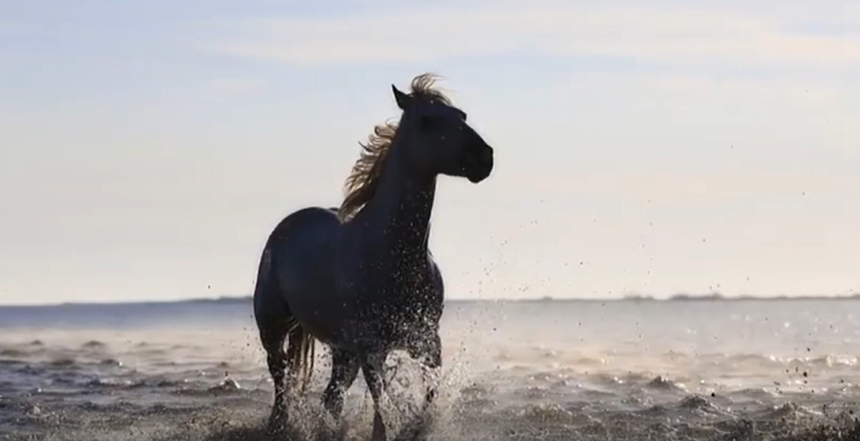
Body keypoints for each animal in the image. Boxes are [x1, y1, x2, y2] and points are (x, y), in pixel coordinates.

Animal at [252, 73, 494, 440]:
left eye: (462, 116)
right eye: (427, 120)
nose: (484, 157)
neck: (393, 256)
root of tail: (286, 227)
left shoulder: (427, 342)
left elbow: (427, 395)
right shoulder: (371, 347)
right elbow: (381, 400)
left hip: (342, 350)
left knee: (331, 397)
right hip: (274, 329)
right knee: (282, 383)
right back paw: (279, 425)